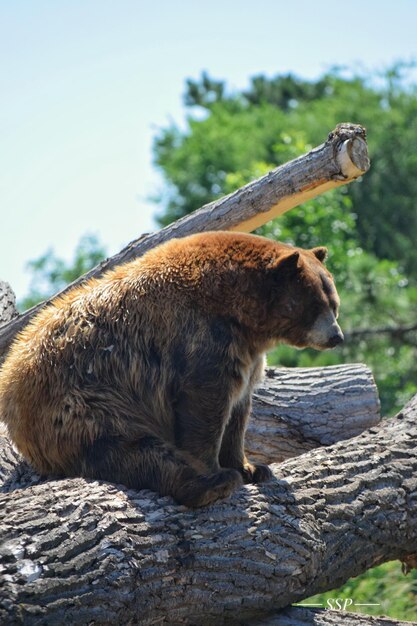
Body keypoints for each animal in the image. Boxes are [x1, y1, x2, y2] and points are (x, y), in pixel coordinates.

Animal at [0, 232, 342, 504]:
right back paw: (208, 485)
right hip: (86, 401)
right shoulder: (200, 339)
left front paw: (251, 467)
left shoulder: (246, 353)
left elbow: (239, 410)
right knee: (133, 448)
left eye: (333, 303)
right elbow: (205, 407)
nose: (336, 336)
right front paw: (220, 469)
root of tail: (11, 382)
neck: (241, 315)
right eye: (316, 304)